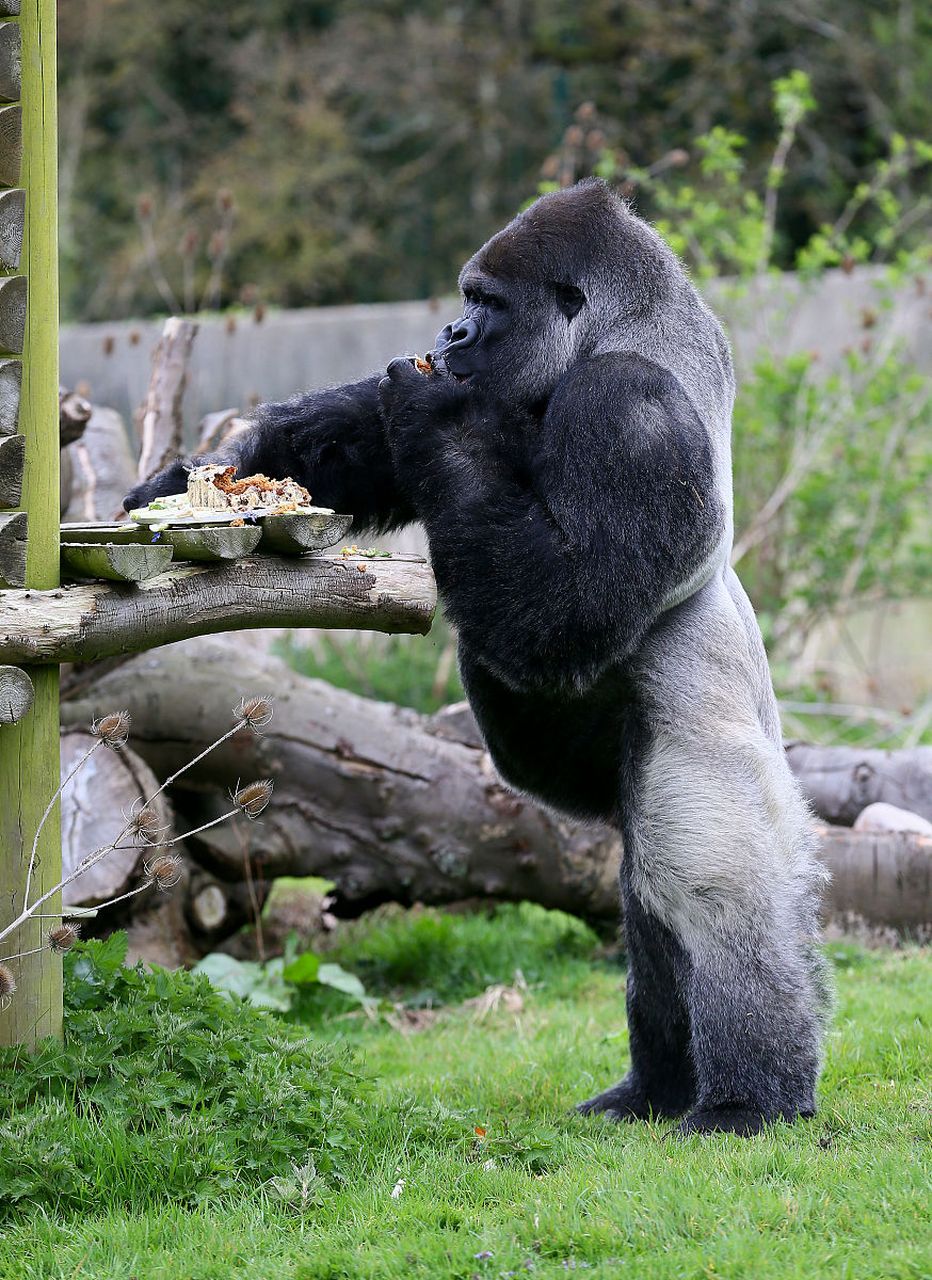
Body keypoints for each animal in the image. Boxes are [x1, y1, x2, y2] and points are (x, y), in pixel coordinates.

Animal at [125, 177, 829, 1131]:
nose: (452, 333)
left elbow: (568, 604)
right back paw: (653, 1089)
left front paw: (438, 417)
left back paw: (748, 1100)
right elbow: (361, 449)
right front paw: (187, 486)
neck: (619, 327)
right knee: (649, 899)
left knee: (709, 886)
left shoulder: (628, 404)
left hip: (716, 741)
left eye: (485, 303)